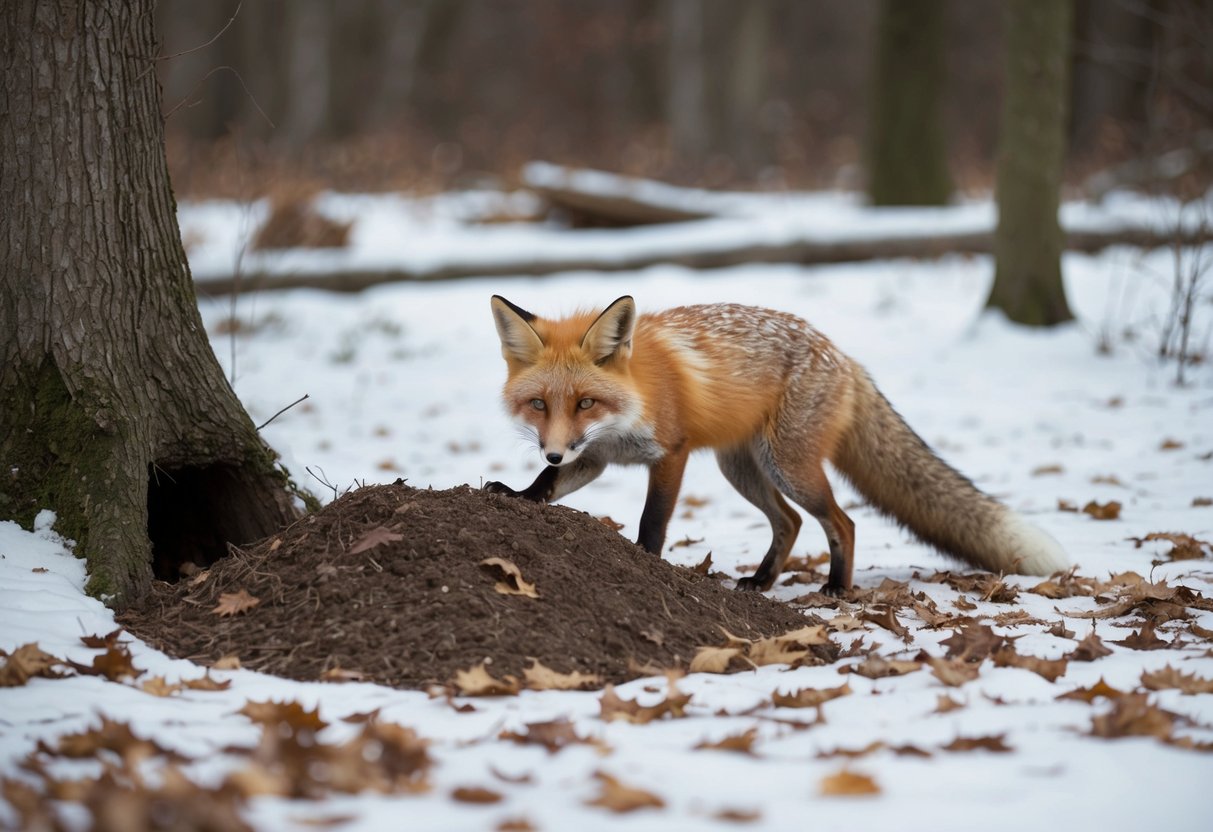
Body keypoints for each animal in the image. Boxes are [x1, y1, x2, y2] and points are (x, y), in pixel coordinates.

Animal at [484, 295, 1068, 594]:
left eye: (586, 402)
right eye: (539, 404)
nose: (552, 448)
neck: (634, 400)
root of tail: (845, 357)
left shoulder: (671, 453)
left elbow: (654, 522)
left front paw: (643, 563)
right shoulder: (594, 457)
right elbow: (548, 484)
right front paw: (517, 494)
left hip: (787, 466)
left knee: (841, 522)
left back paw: (836, 587)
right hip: (742, 469)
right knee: (789, 523)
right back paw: (762, 581)